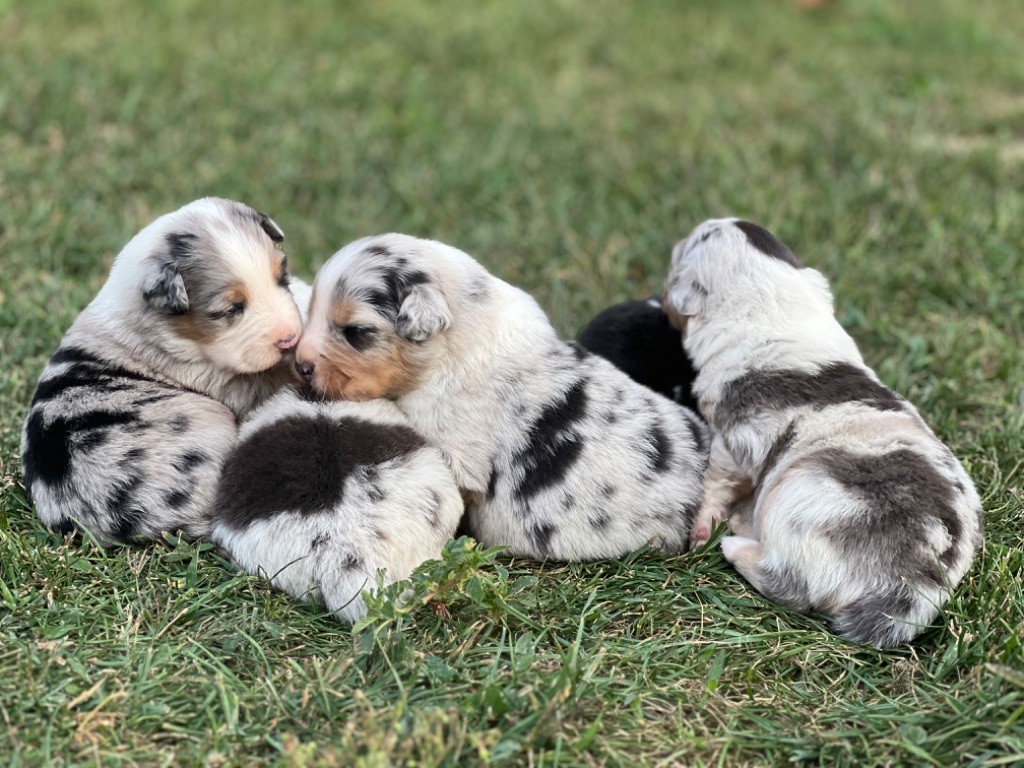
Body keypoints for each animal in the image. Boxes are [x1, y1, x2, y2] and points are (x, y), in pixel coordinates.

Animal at [663, 217, 983, 651]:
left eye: (690, 244)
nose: (678, 239)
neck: (772, 306)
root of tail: (915, 586)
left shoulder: (732, 438)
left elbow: (715, 481)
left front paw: (702, 529)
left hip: (795, 499)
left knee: (790, 585)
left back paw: (736, 541)